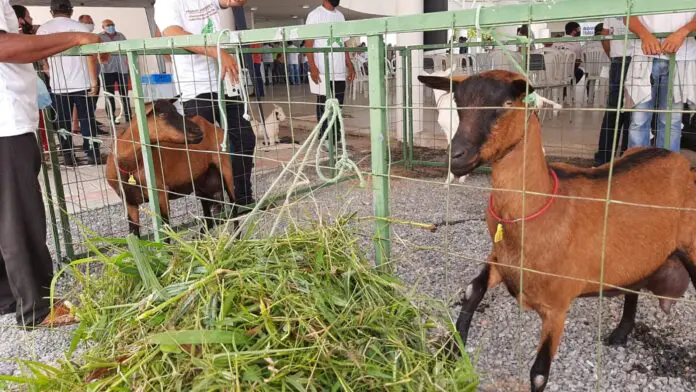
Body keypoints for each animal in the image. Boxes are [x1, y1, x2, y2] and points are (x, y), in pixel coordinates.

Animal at [103, 99, 234, 237]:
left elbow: (165, 229)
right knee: (210, 214)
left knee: (234, 206)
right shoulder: (129, 201)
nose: (198, 131)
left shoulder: (160, 193)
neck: (129, 167)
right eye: (162, 114)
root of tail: (215, 127)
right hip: (203, 181)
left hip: (226, 170)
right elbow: (133, 233)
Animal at [422, 70, 696, 392]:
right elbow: (472, 290)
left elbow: (539, 373)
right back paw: (620, 334)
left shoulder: (556, 308)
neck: (540, 205)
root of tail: (677, 159)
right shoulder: (501, 261)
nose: (456, 156)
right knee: (634, 286)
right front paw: (451, 351)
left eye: (505, 103)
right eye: (459, 103)